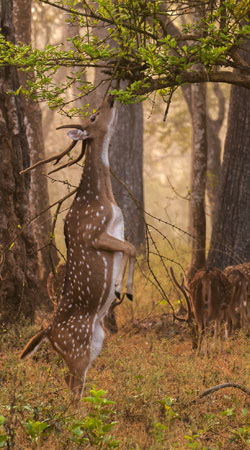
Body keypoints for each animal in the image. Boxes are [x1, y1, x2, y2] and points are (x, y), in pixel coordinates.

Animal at [19, 96, 137, 400]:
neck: (103, 199)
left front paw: (123, 289)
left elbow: (131, 247)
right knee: (72, 387)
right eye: (93, 117)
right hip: (77, 347)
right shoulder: (93, 234)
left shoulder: (116, 232)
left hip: (95, 342)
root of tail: (47, 333)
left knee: (71, 383)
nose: (111, 97)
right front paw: (121, 289)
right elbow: (130, 248)